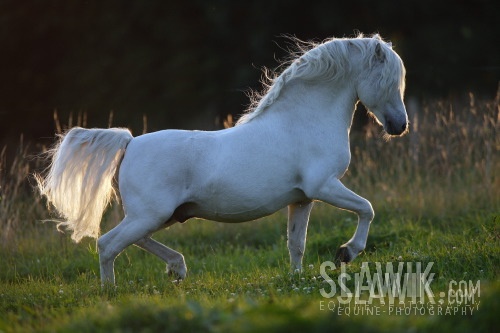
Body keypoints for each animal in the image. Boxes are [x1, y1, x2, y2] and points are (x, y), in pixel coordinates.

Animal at [37, 34, 408, 286]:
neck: (303, 120)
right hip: (150, 214)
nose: (399, 126)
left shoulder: (302, 199)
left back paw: (177, 268)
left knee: (131, 240)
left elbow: (296, 244)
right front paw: (347, 252)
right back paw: (112, 292)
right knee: (107, 243)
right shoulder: (325, 186)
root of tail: (129, 143)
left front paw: (297, 279)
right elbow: (367, 209)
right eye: (388, 81)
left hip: (162, 215)